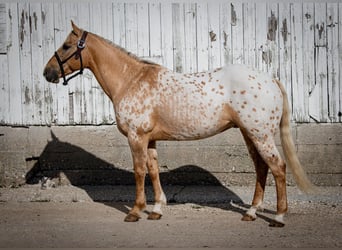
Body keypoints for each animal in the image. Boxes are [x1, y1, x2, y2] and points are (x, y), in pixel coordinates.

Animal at [42, 22, 312, 228]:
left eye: (66, 46)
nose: (47, 72)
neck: (131, 80)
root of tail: (271, 79)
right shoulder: (150, 140)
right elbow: (153, 171)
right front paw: (156, 210)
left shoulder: (136, 137)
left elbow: (139, 172)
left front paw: (135, 211)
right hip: (250, 134)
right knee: (261, 168)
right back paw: (252, 212)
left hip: (260, 134)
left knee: (277, 168)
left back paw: (278, 217)